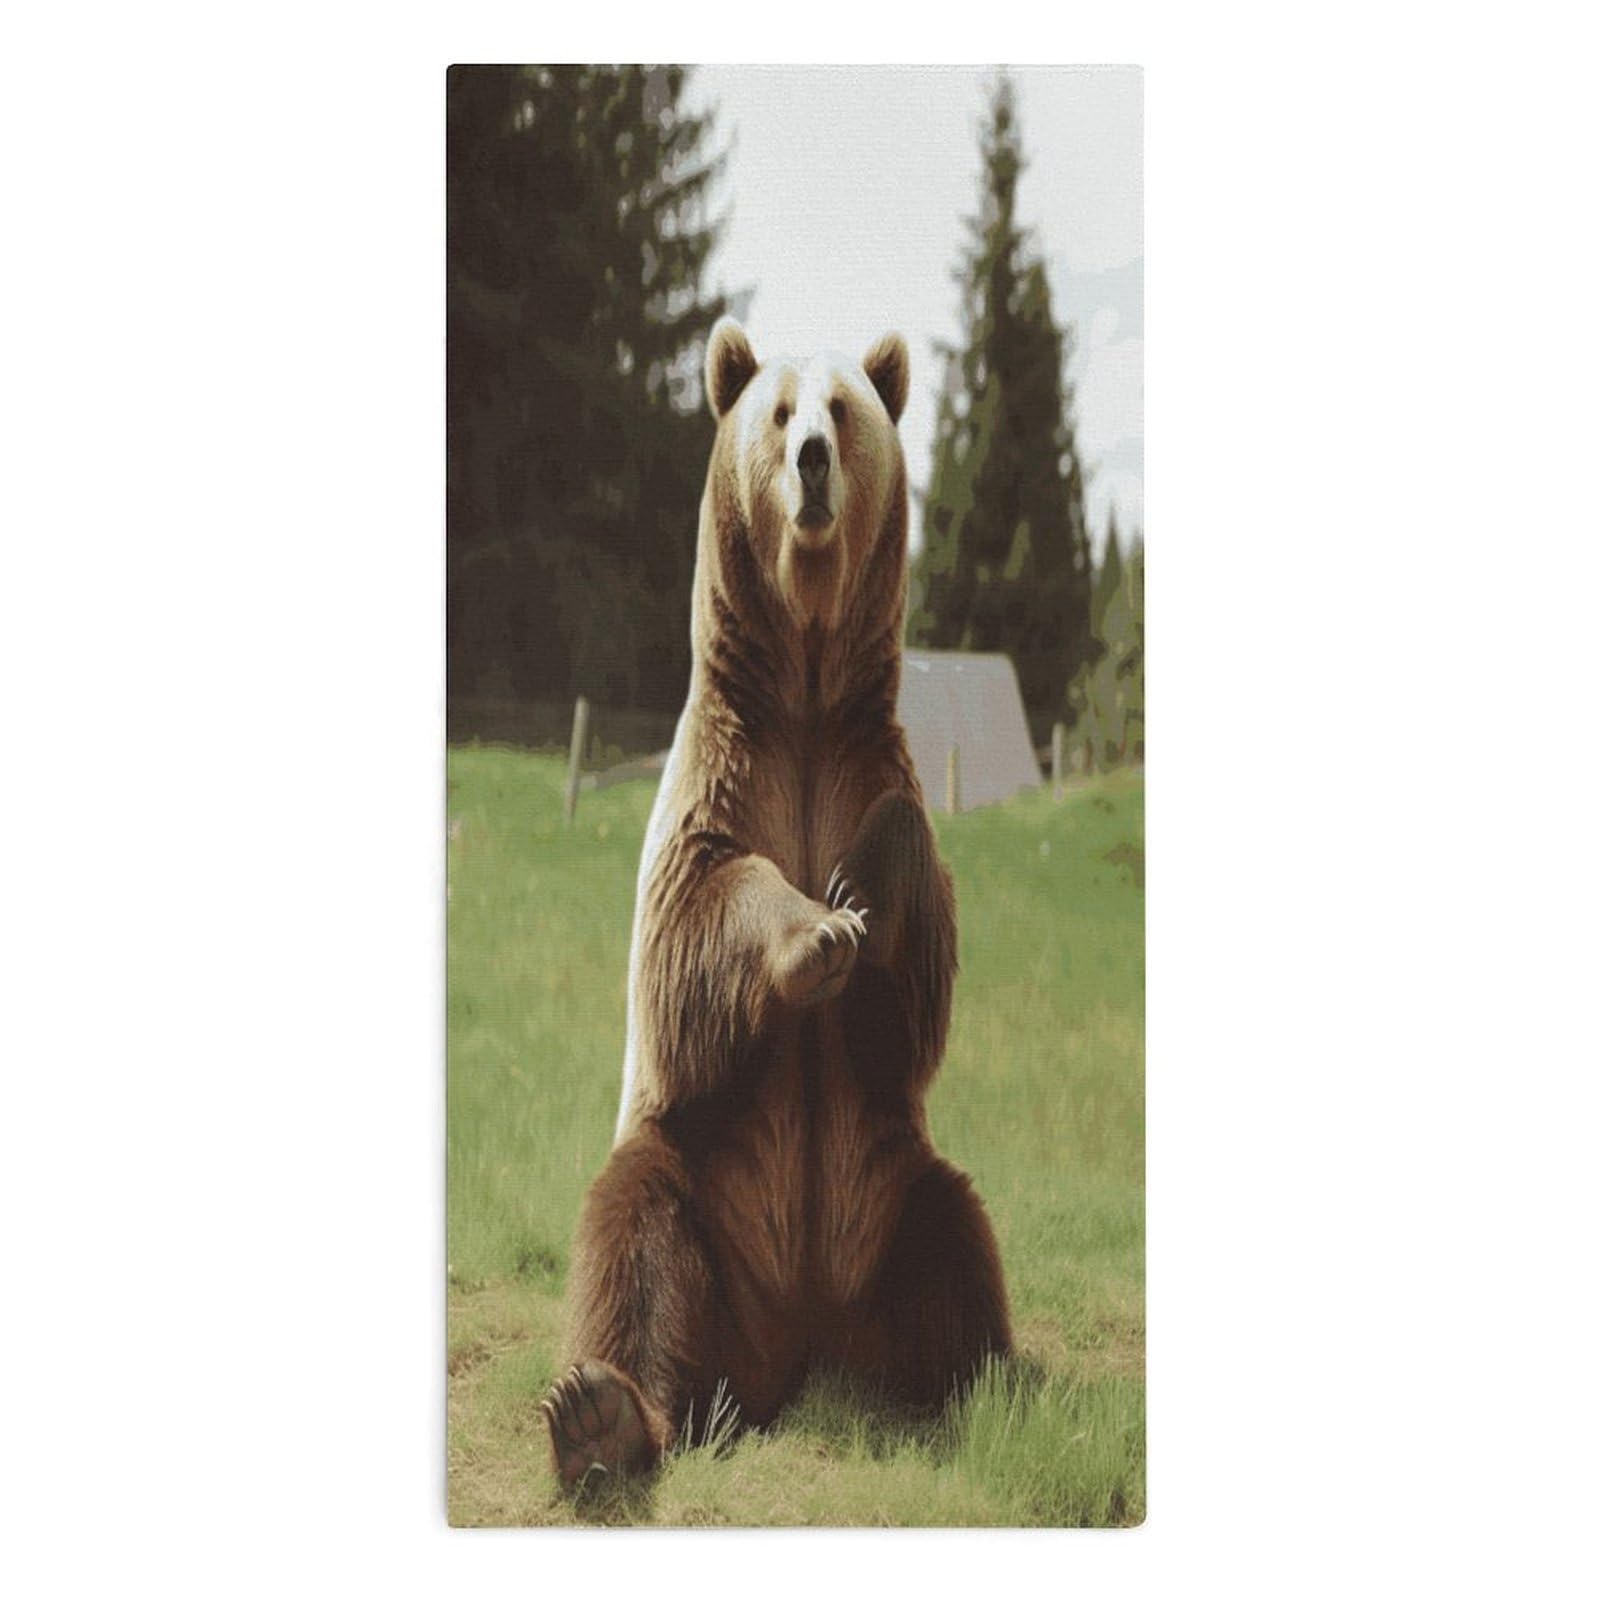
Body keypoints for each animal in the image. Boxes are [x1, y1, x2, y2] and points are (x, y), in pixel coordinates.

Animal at [540, 317, 1012, 1487]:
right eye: (777, 411)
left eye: (841, 411)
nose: (809, 462)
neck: (799, 685)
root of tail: (800, 1351)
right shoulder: (722, 777)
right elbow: (697, 919)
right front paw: (820, 928)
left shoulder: (861, 759)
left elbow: (914, 976)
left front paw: (857, 891)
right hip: (702, 1181)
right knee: (633, 1235)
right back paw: (599, 1416)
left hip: (888, 1187)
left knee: (955, 1238)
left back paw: (984, 1389)